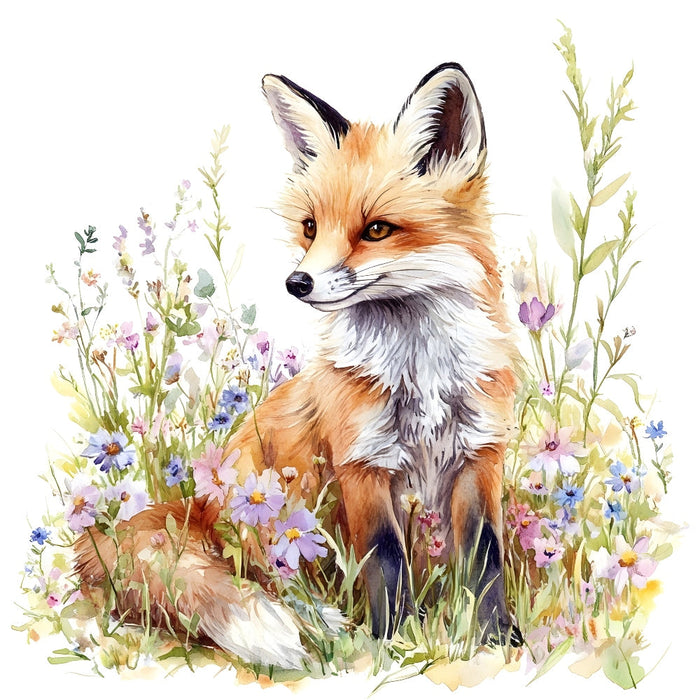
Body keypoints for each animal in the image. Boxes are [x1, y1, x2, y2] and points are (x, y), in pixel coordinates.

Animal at [74, 62, 522, 669]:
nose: (297, 282)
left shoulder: (479, 457)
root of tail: (195, 507)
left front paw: (498, 640)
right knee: (267, 579)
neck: (420, 376)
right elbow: (385, 561)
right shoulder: (362, 464)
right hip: (269, 516)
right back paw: (320, 622)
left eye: (376, 230)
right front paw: (395, 644)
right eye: (311, 226)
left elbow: (486, 557)